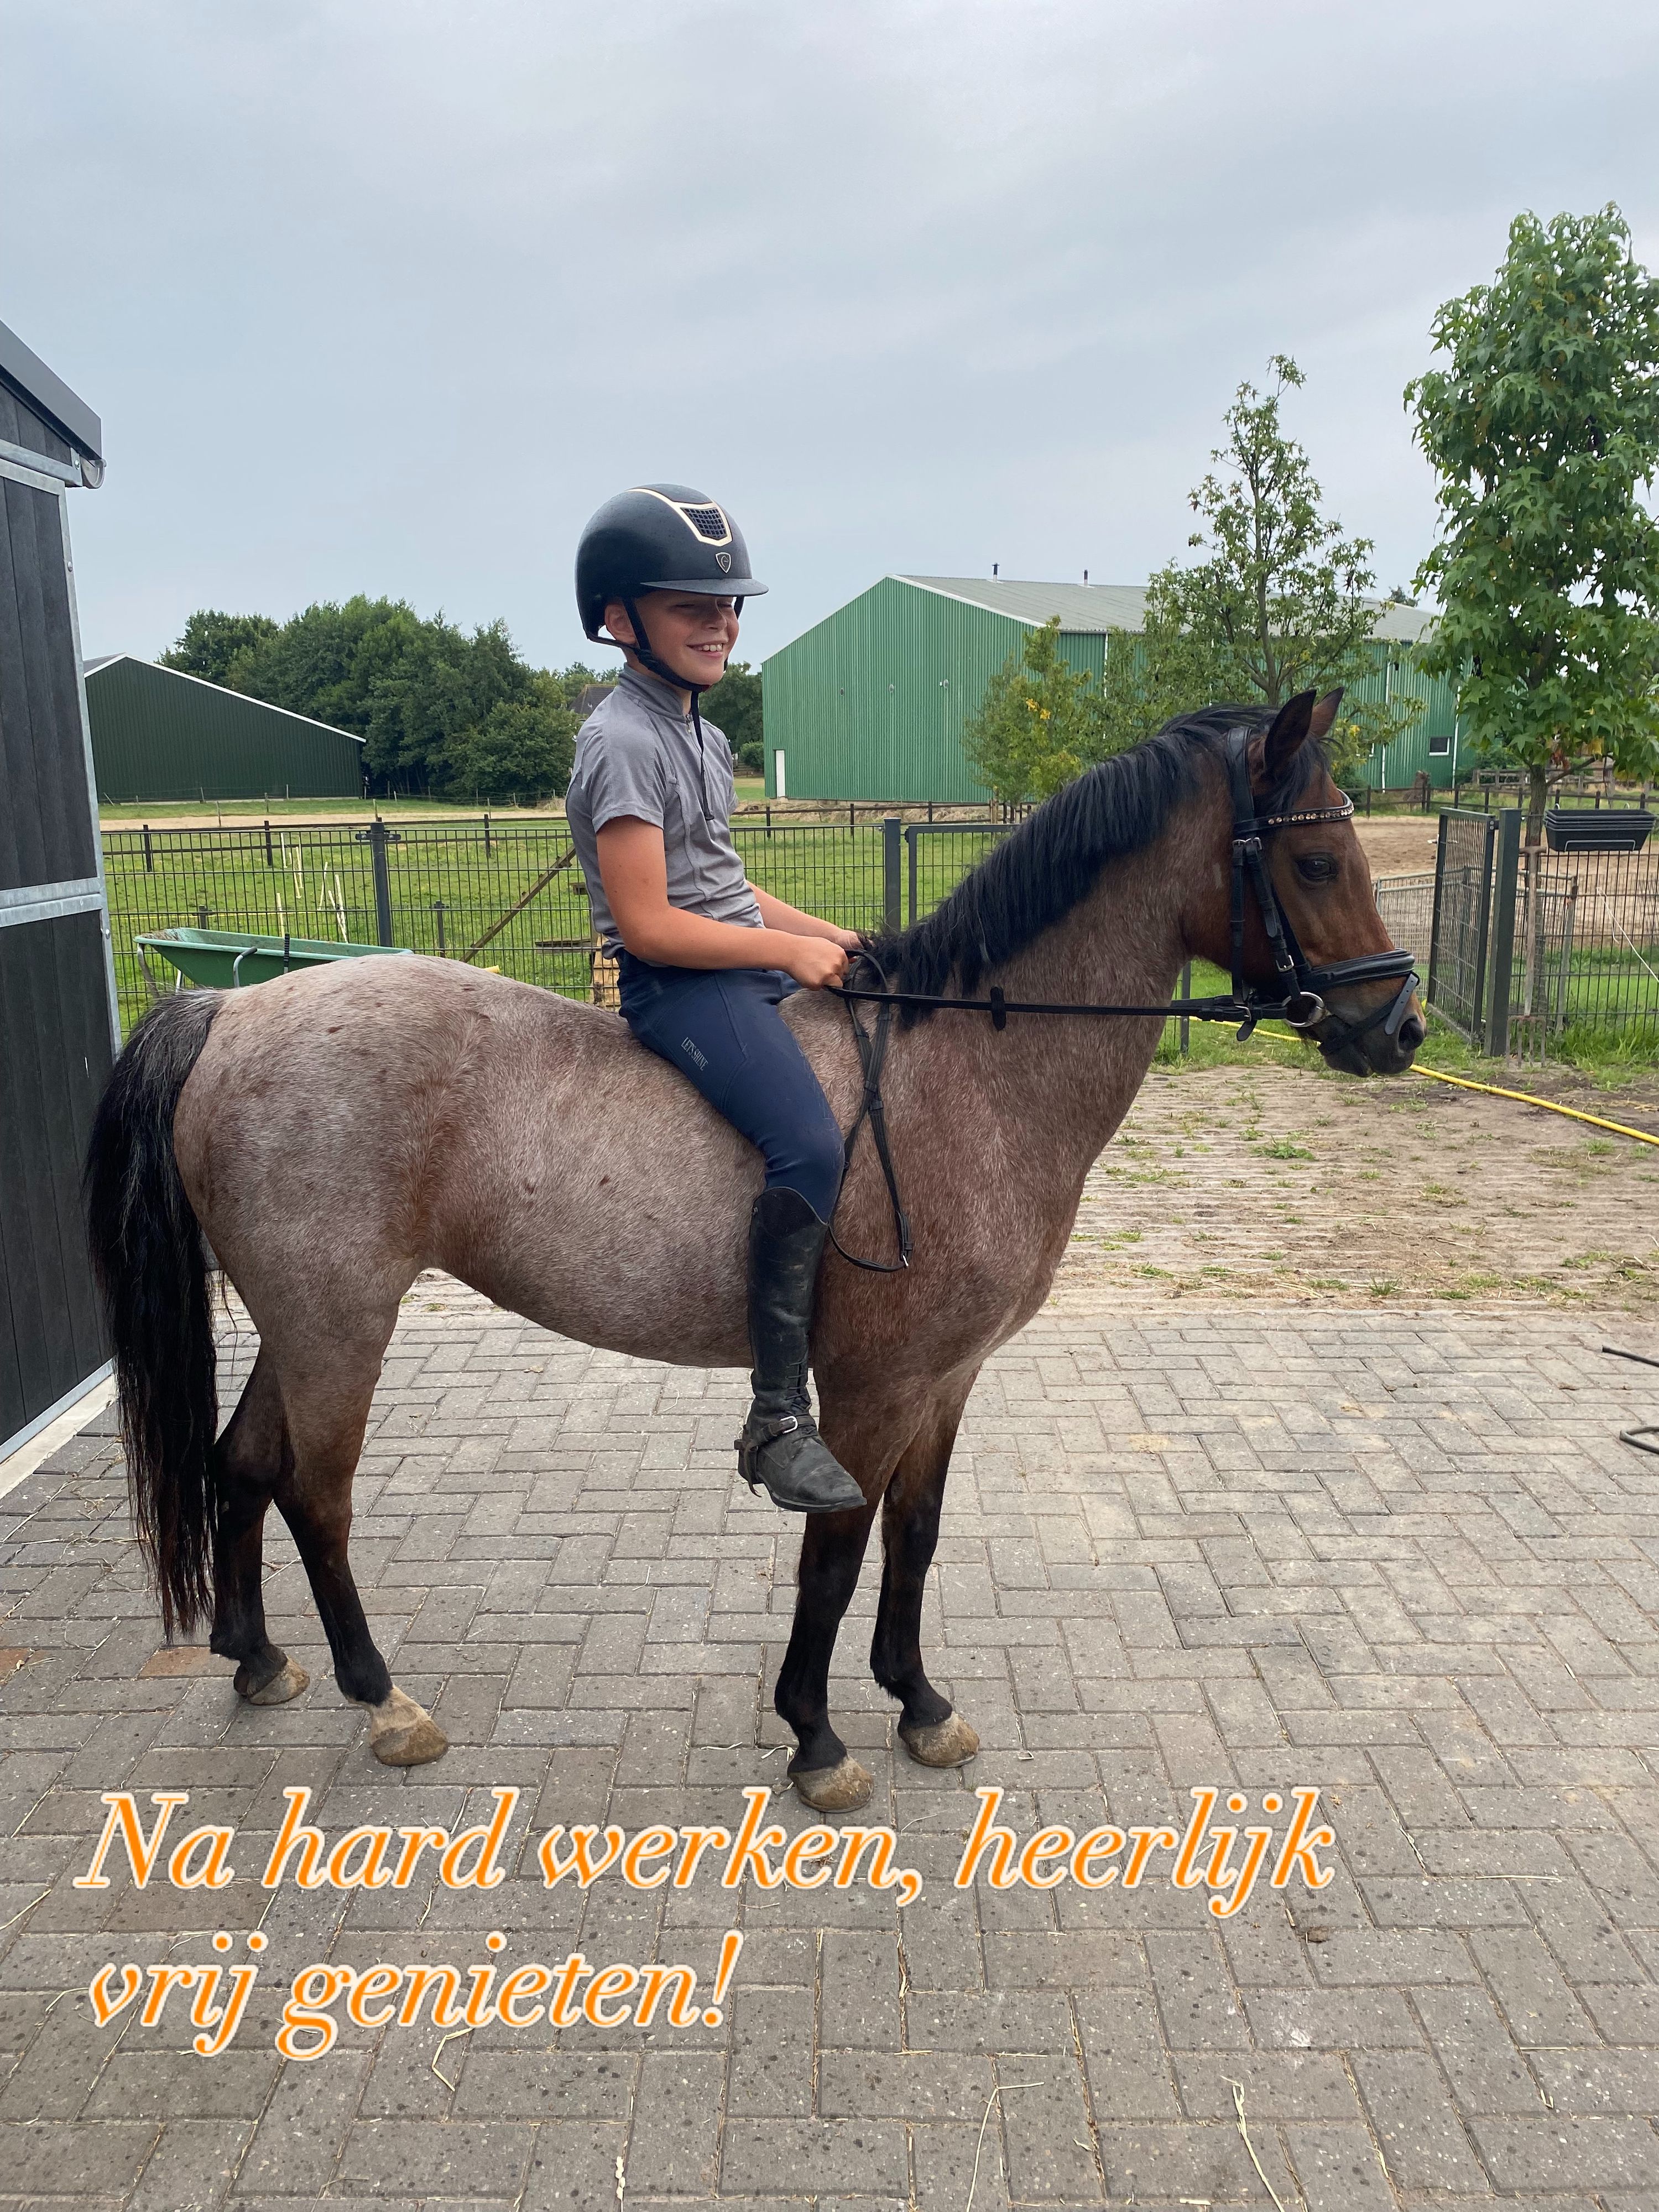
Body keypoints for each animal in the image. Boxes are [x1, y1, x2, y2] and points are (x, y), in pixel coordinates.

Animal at [86, 691, 1422, 1813]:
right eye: (1313, 859)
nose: (1398, 1027)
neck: (969, 1071)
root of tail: (229, 1009)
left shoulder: (948, 1380)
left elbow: (916, 1536)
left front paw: (918, 1703)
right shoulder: (872, 1391)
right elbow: (836, 1552)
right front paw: (818, 1737)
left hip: (305, 1319)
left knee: (240, 1462)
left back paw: (259, 1659)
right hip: (341, 1325)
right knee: (314, 1493)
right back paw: (384, 1699)